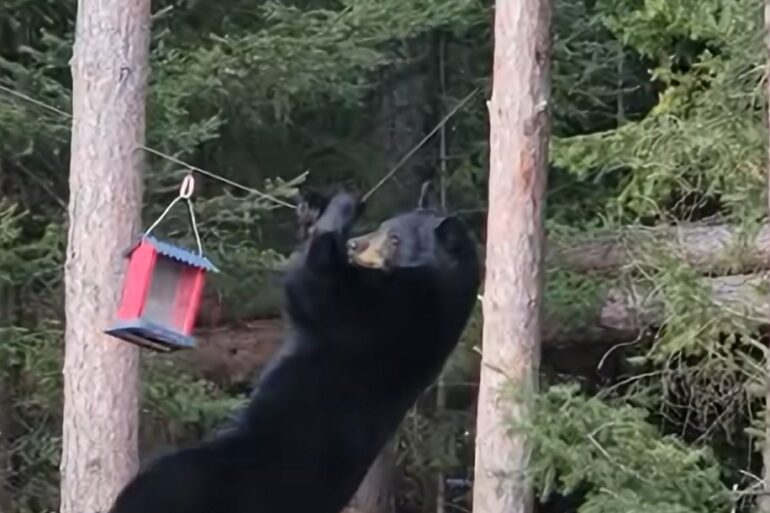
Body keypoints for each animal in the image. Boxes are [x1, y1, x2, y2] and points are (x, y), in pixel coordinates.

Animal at [108, 182, 480, 513]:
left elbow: (315, 283)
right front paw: (311, 210)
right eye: (386, 225)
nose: (355, 244)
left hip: (201, 477)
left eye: (395, 238)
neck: (446, 284)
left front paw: (340, 208)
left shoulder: (395, 309)